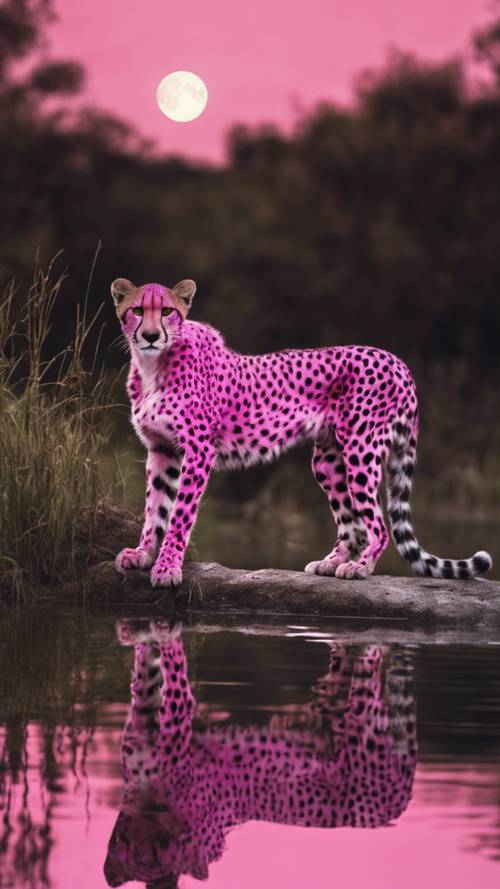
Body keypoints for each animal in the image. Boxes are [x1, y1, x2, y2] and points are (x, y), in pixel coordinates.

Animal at [104, 621, 417, 888]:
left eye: (161, 854)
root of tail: (401, 799)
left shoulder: (176, 723)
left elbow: (173, 668)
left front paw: (162, 632)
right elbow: (145, 675)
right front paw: (137, 636)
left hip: (364, 726)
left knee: (371, 667)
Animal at [111, 277, 492, 587]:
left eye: (167, 312)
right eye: (136, 310)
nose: (150, 336)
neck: (152, 366)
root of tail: (395, 359)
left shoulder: (198, 451)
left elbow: (179, 515)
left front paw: (167, 568)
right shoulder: (161, 450)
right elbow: (155, 509)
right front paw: (143, 555)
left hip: (361, 451)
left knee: (378, 525)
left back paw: (361, 567)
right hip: (328, 461)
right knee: (352, 524)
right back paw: (332, 562)